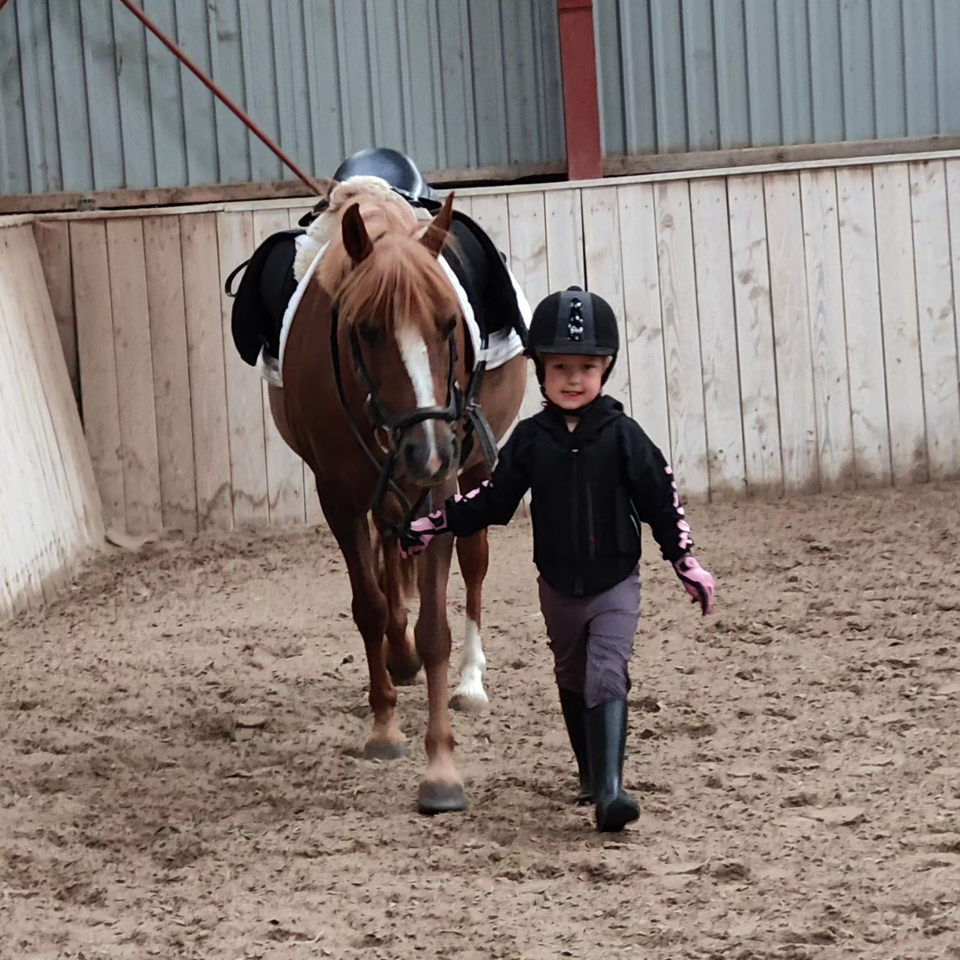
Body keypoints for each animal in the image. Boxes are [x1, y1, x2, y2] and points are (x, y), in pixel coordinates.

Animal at [266, 180, 528, 808]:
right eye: (364, 330)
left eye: (448, 325)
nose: (426, 449)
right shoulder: (338, 498)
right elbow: (369, 606)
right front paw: (385, 727)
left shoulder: (440, 491)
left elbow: (436, 629)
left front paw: (441, 769)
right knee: (388, 565)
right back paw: (398, 657)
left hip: (470, 471)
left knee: (474, 566)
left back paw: (470, 681)